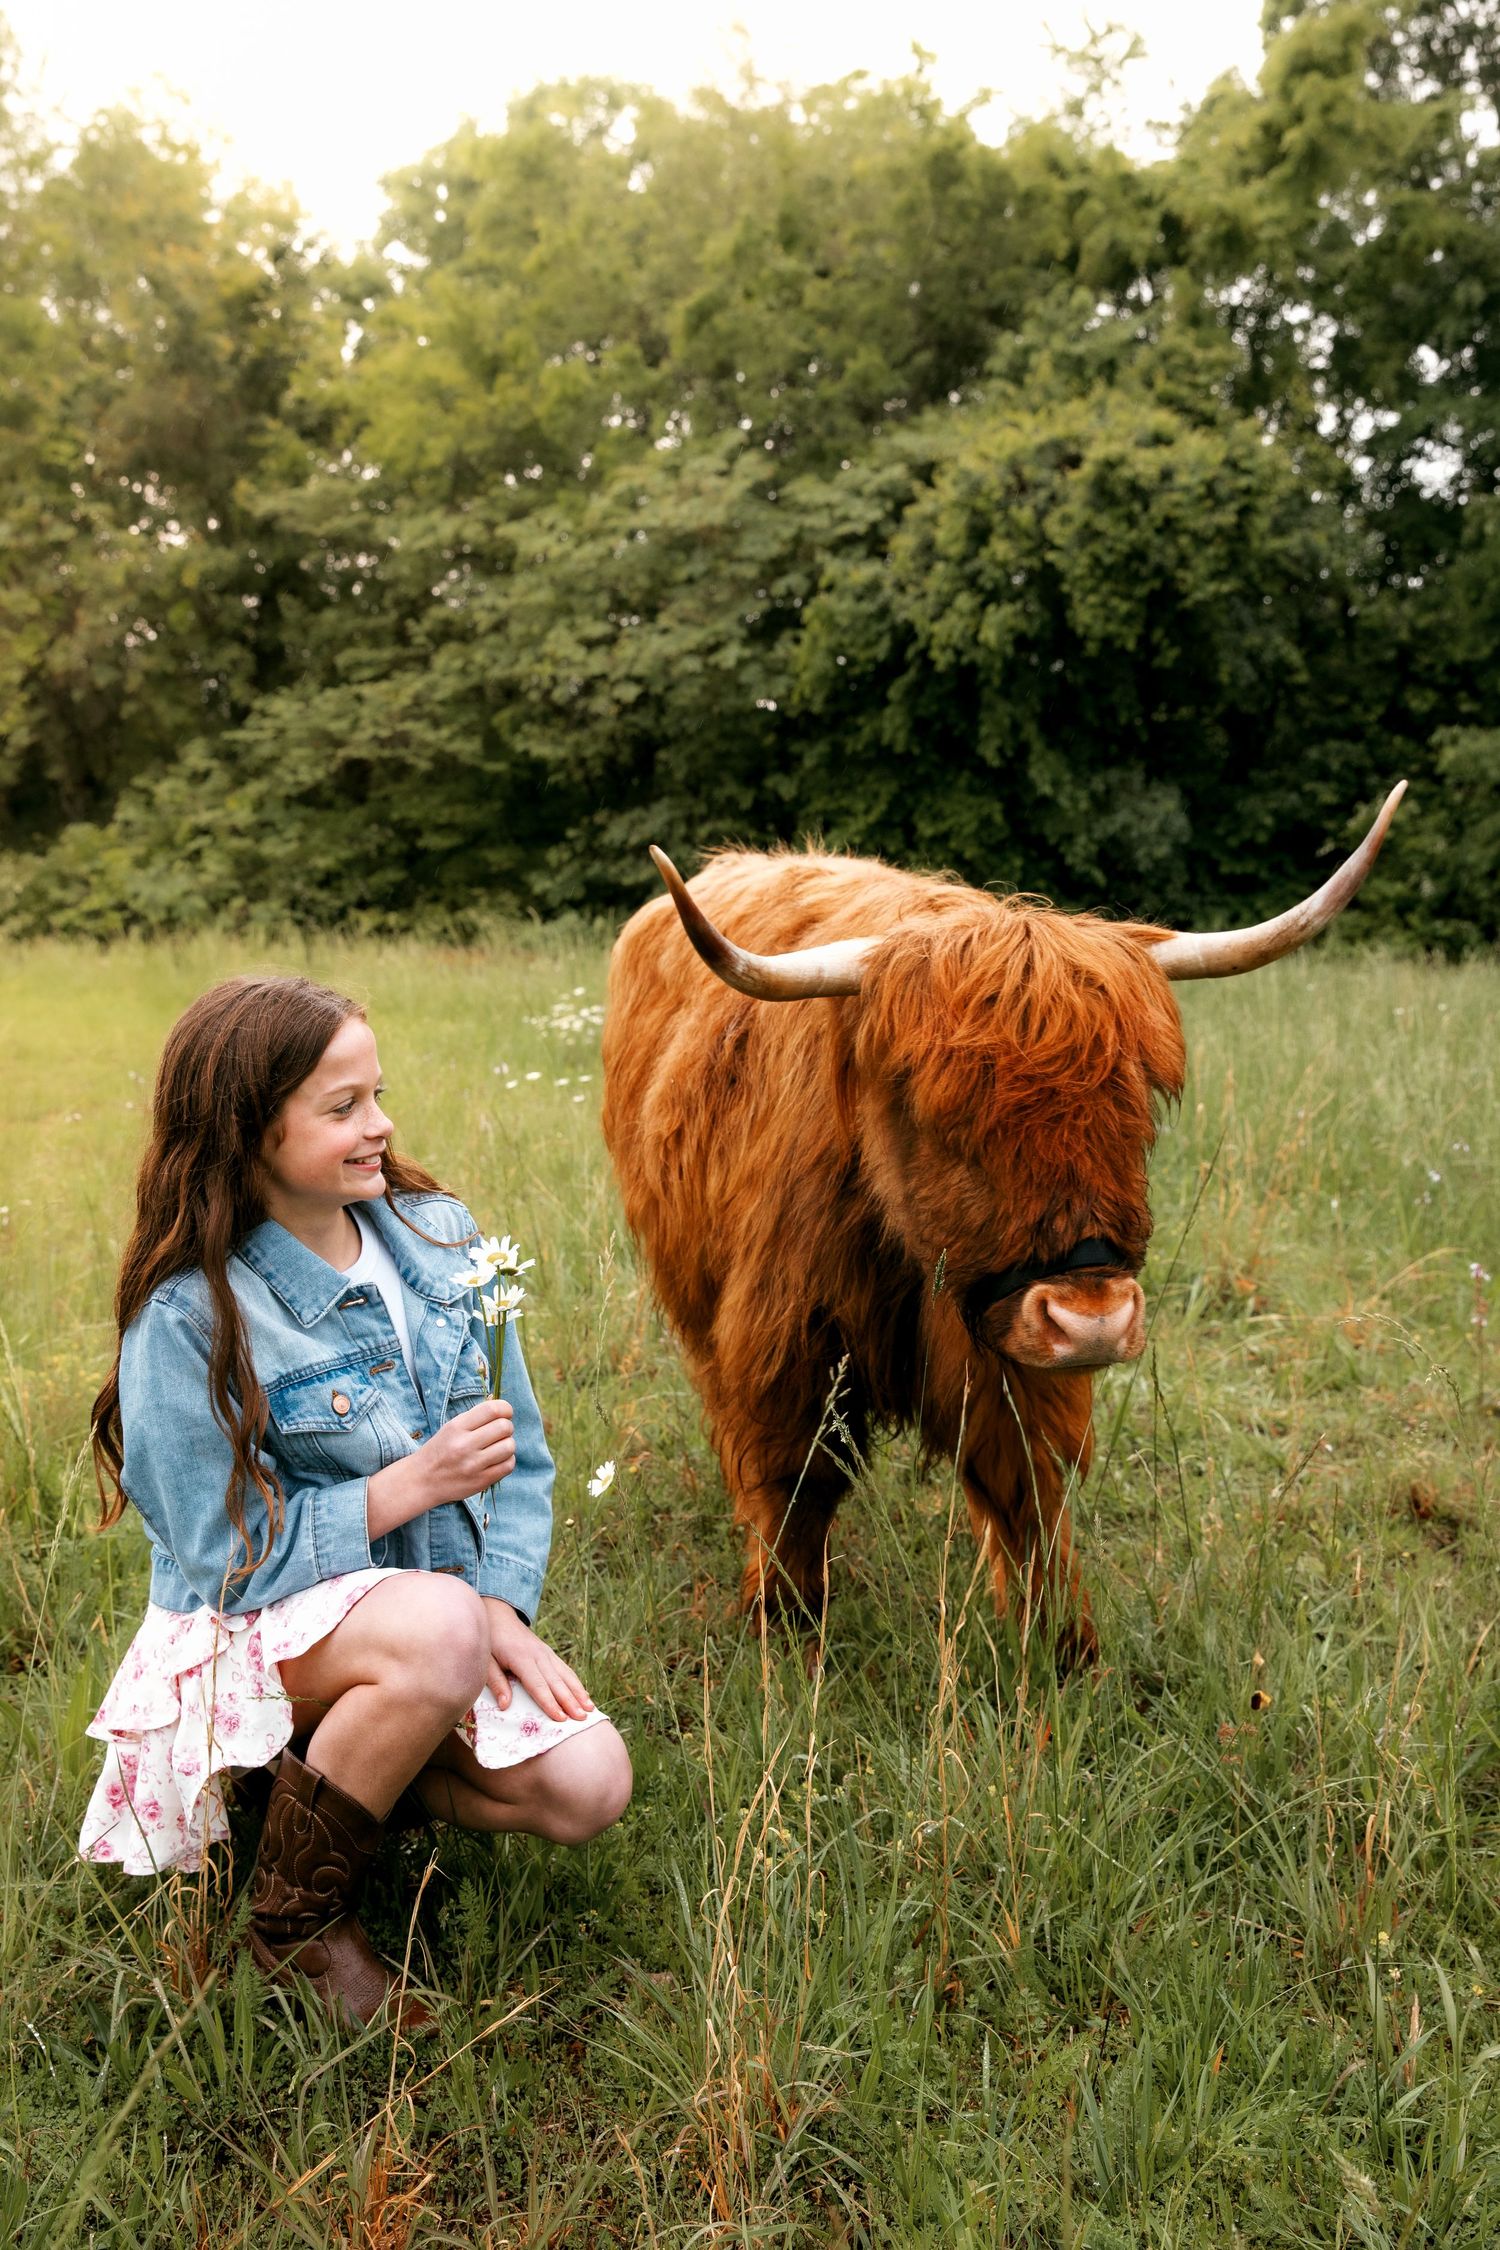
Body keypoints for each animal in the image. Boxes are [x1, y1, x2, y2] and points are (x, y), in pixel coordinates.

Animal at [600, 786, 1405, 1662]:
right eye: (944, 1116)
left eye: (1137, 1111)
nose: (1093, 1322)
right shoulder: (789, 1338)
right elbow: (797, 1479)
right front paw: (783, 1621)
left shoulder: (1011, 1354)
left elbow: (1026, 1489)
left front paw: (1062, 1645)